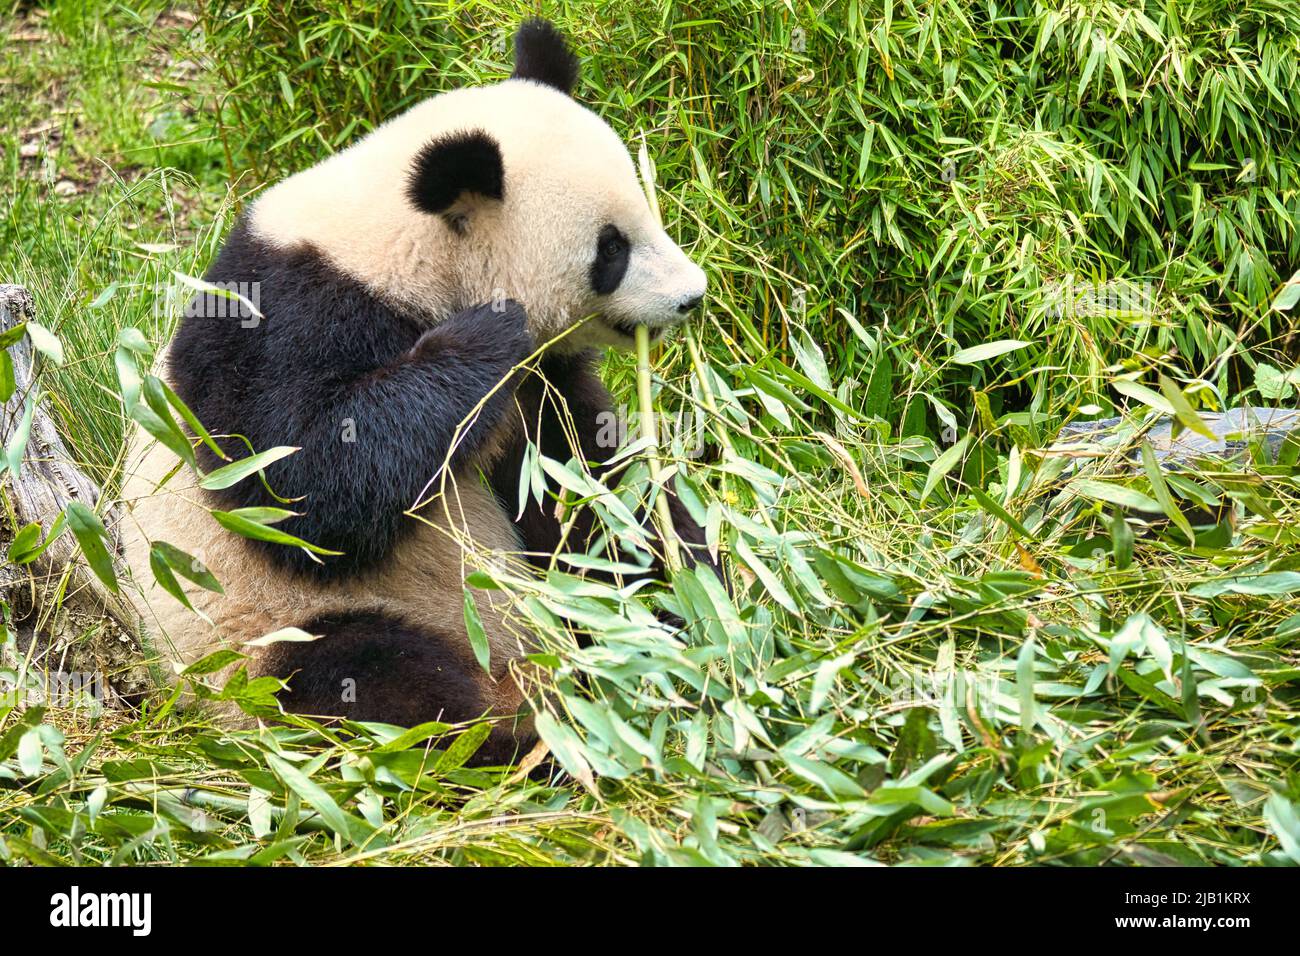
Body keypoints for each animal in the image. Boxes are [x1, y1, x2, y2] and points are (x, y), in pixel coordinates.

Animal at [118, 18, 712, 764]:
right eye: (611, 249)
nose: (692, 296)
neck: (404, 249)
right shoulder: (285, 318)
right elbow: (296, 485)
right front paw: (487, 333)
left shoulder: (539, 390)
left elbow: (587, 492)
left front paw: (691, 593)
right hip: (261, 641)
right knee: (367, 684)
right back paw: (524, 741)